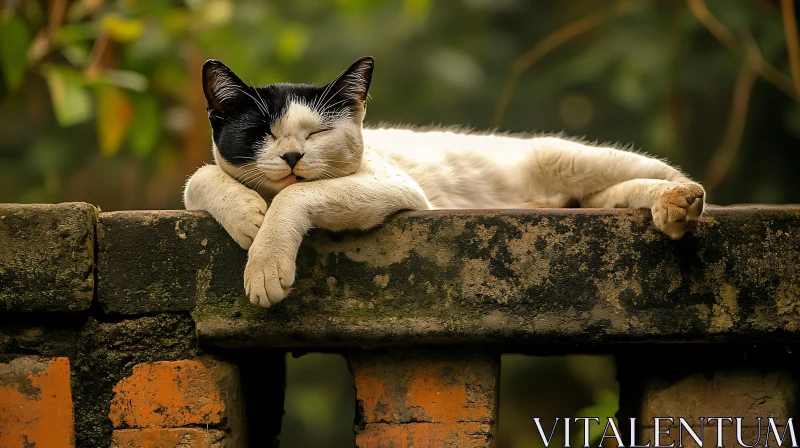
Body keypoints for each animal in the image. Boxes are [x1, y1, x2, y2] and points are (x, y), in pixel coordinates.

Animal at [184, 56, 704, 308]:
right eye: (263, 133)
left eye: (317, 133)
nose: (292, 155)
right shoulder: (208, 179)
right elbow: (200, 178)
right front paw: (248, 217)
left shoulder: (394, 185)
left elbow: (296, 192)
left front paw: (264, 264)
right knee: (609, 197)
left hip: (573, 159)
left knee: (668, 176)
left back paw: (680, 202)